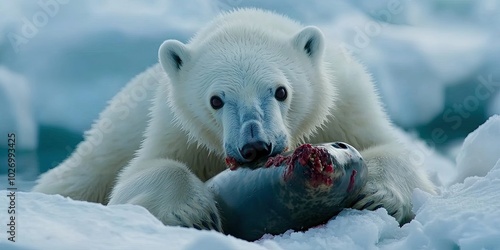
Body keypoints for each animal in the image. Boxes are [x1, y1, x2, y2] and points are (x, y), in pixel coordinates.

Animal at [34, 7, 434, 230]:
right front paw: (191, 212)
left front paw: (378, 195)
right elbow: (141, 172)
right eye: (216, 100)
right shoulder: (179, 129)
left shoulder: (347, 104)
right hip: (115, 131)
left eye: (281, 91)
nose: (256, 146)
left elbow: (392, 150)